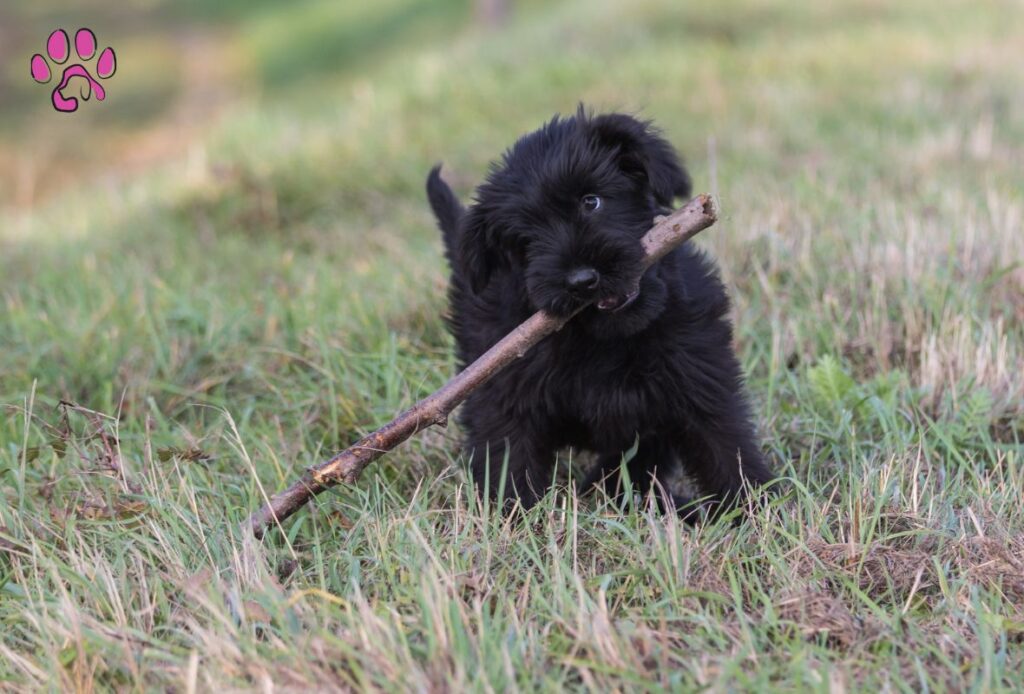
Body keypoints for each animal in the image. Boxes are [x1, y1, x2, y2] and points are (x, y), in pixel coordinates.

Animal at [428, 108, 770, 522]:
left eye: (591, 201)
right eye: (525, 240)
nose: (581, 280)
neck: (609, 340)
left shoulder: (701, 379)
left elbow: (726, 448)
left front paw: (760, 509)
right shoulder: (504, 399)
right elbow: (509, 461)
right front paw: (515, 522)